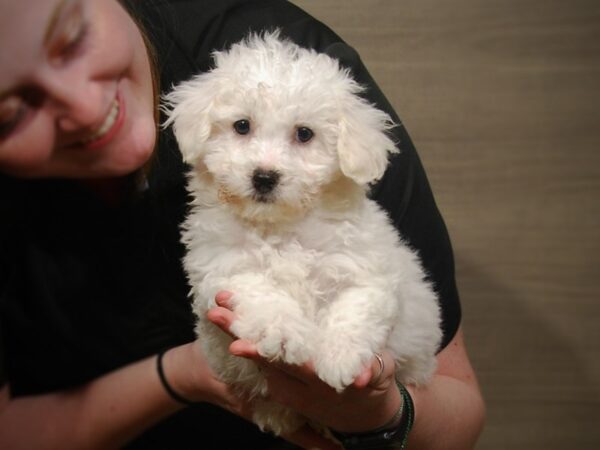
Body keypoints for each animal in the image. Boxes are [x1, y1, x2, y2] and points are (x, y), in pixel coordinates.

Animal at [163, 32, 440, 436]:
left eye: (304, 134)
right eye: (242, 126)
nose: (264, 176)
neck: (280, 226)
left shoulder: (365, 267)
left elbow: (355, 305)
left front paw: (339, 356)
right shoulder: (223, 266)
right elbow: (259, 290)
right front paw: (284, 333)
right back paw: (276, 413)